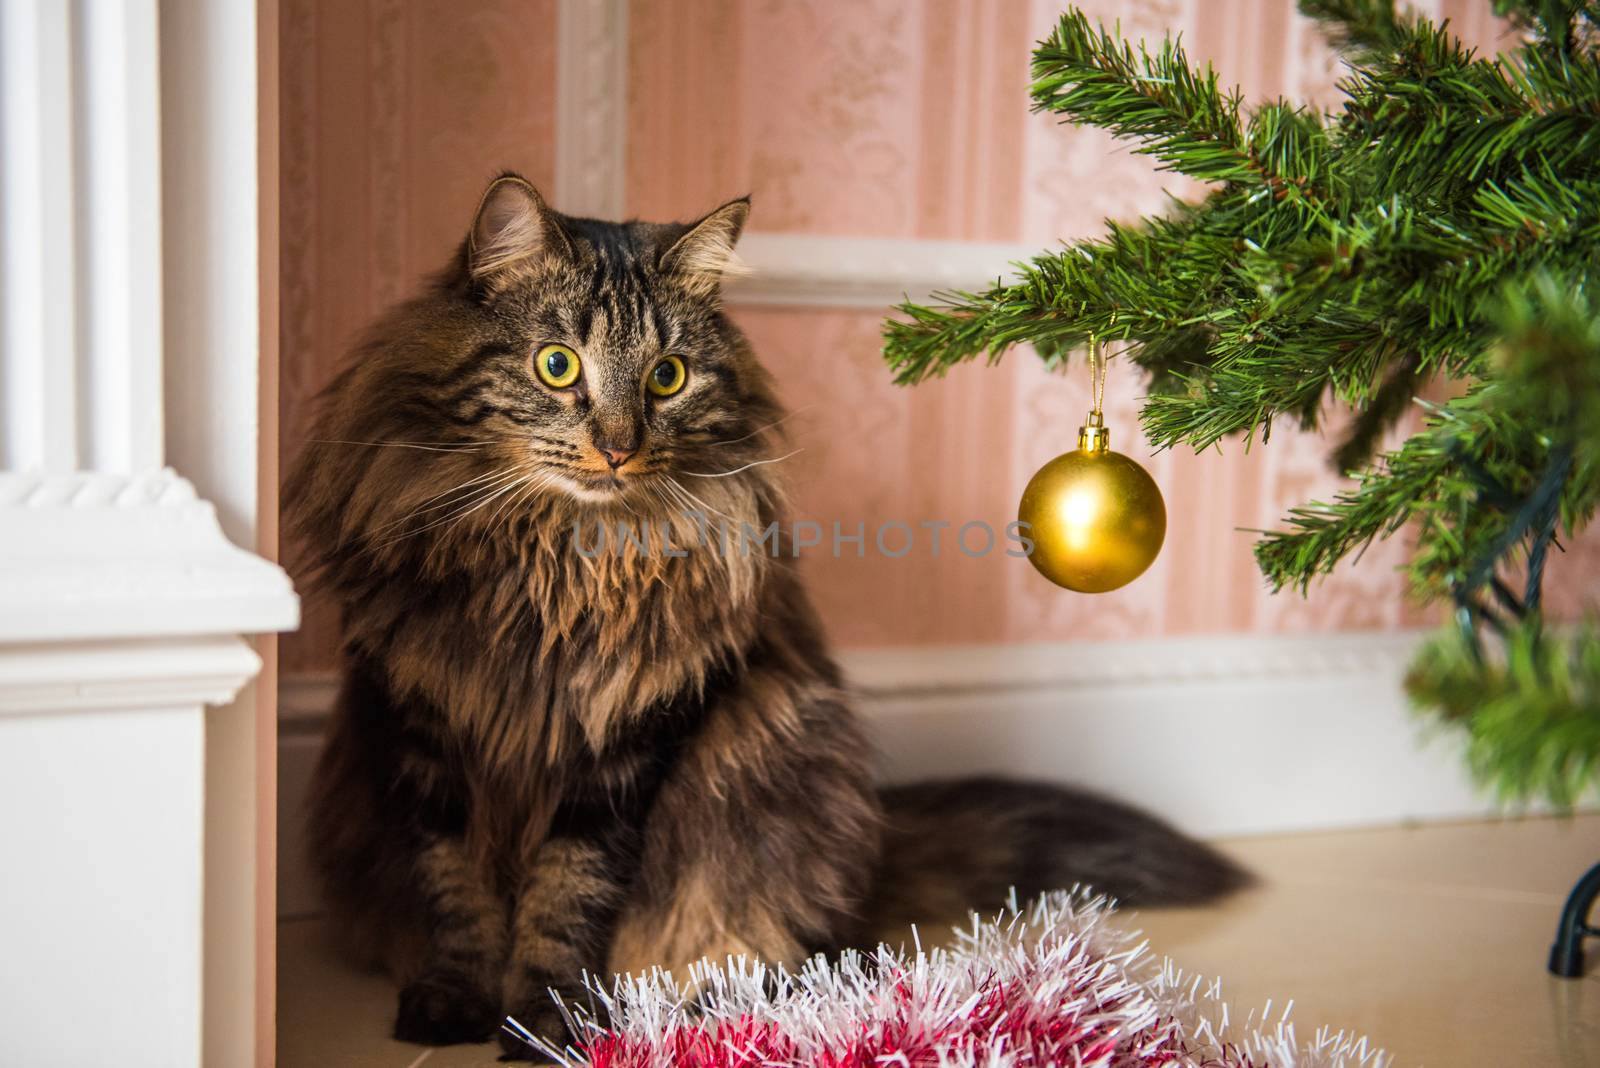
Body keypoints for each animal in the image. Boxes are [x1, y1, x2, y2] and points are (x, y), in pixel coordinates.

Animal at [281, 171, 1241, 1055]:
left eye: (667, 377)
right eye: (557, 365)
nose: (618, 448)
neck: (558, 565)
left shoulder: (627, 744)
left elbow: (568, 895)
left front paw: (544, 1019)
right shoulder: (420, 725)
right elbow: (455, 890)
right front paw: (453, 1002)